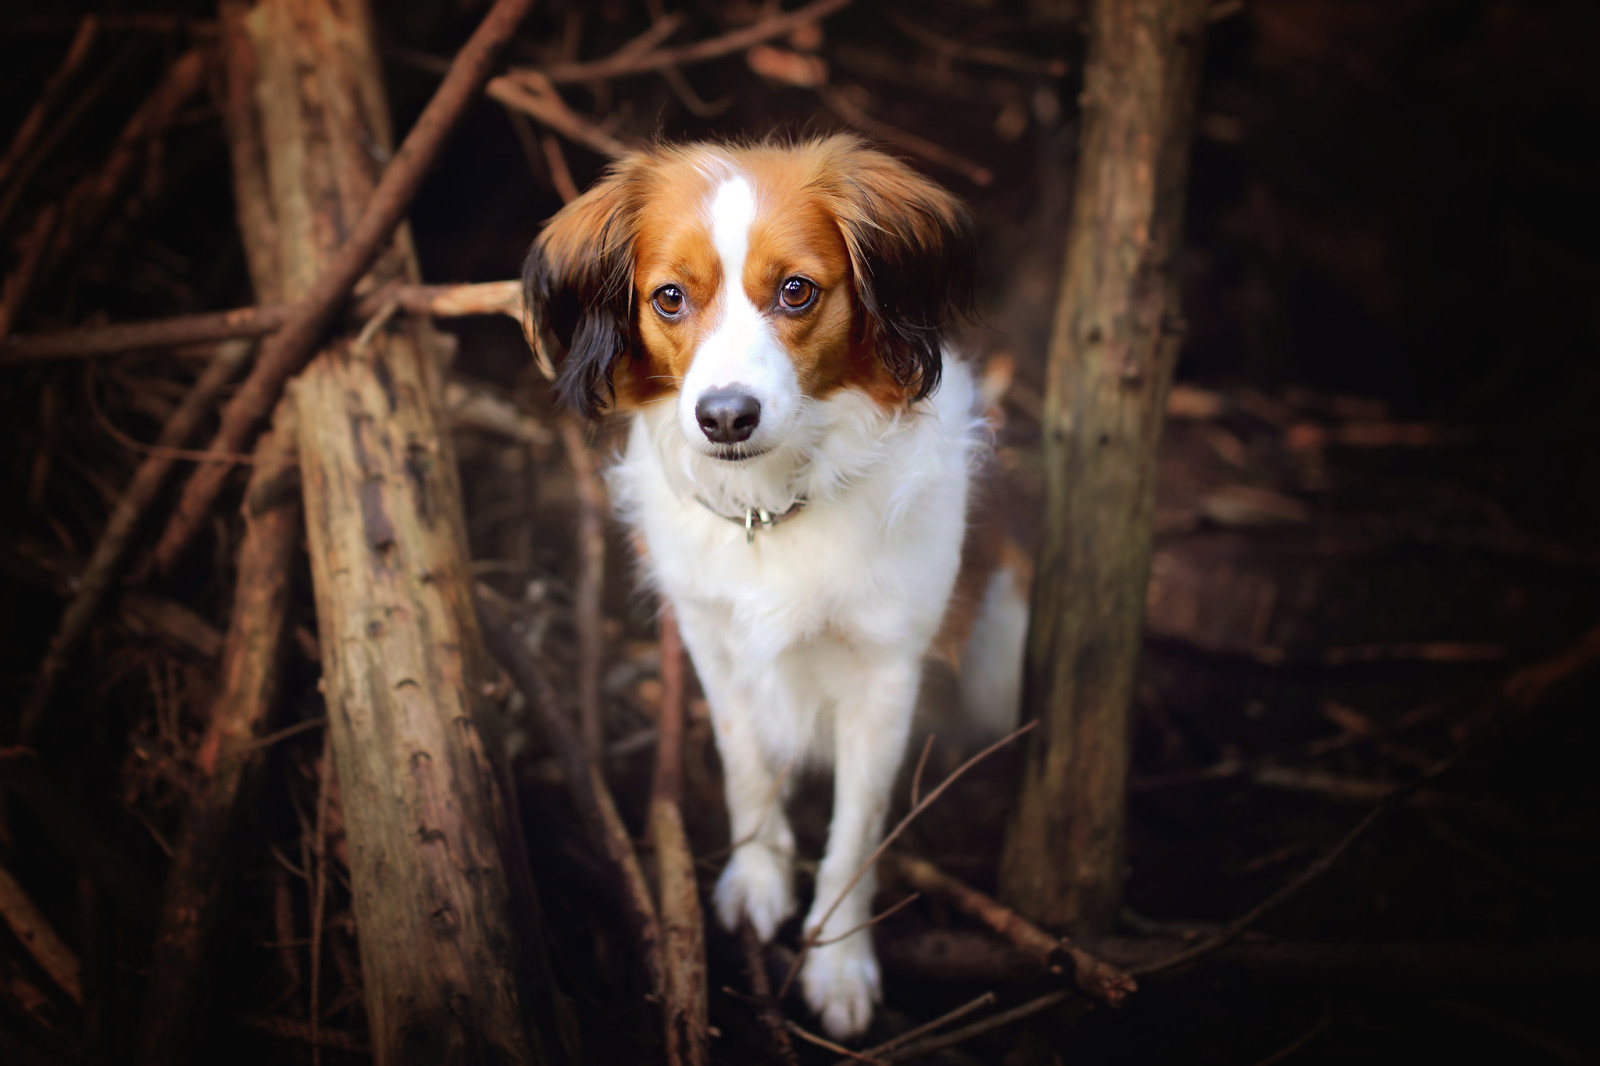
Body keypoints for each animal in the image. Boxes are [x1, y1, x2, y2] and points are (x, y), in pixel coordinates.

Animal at [524, 136, 1017, 1030]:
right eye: (670, 298)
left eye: (796, 291)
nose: (725, 416)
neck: (772, 507)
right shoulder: (713, 640)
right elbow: (746, 762)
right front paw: (756, 879)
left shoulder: (885, 676)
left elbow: (855, 831)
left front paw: (839, 964)